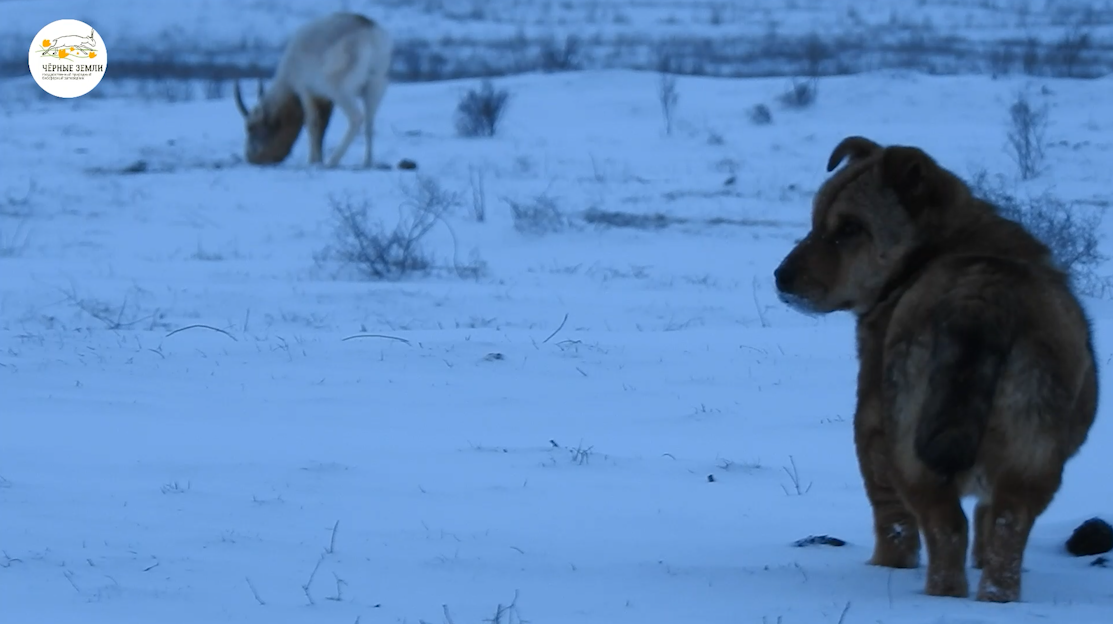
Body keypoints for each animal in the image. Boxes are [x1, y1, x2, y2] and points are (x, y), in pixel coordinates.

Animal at [232, 12, 394, 167]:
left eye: (250, 127)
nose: (251, 158)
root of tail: (369, 30)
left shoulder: (305, 90)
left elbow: (312, 123)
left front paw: (313, 160)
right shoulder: (326, 100)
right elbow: (323, 126)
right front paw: (319, 158)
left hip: (339, 90)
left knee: (357, 118)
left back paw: (332, 161)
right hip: (375, 87)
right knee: (369, 124)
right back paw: (367, 162)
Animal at [779, 135, 1099, 600]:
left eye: (850, 228)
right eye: (817, 221)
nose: (780, 277)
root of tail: (981, 296)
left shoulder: (872, 425)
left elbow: (892, 519)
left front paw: (886, 567)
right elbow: (986, 519)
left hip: (910, 441)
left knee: (945, 528)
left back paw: (939, 594)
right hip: (1032, 444)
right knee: (1008, 527)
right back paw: (995, 597)